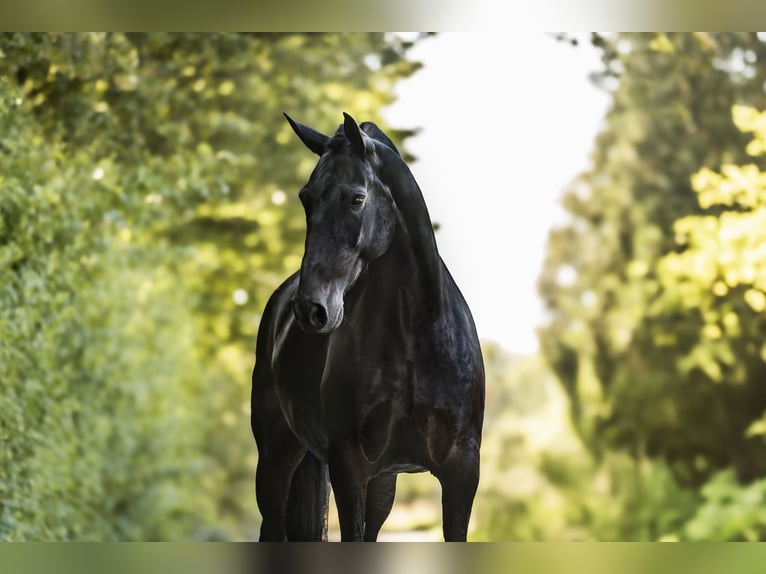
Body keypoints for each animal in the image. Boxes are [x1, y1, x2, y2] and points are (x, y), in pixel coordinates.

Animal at [252, 112, 486, 544]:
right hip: (274, 461)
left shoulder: (462, 472)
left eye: (356, 198)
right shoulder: (349, 469)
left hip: (382, 482)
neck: (416, 335)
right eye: (306, 198)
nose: (311, 309)